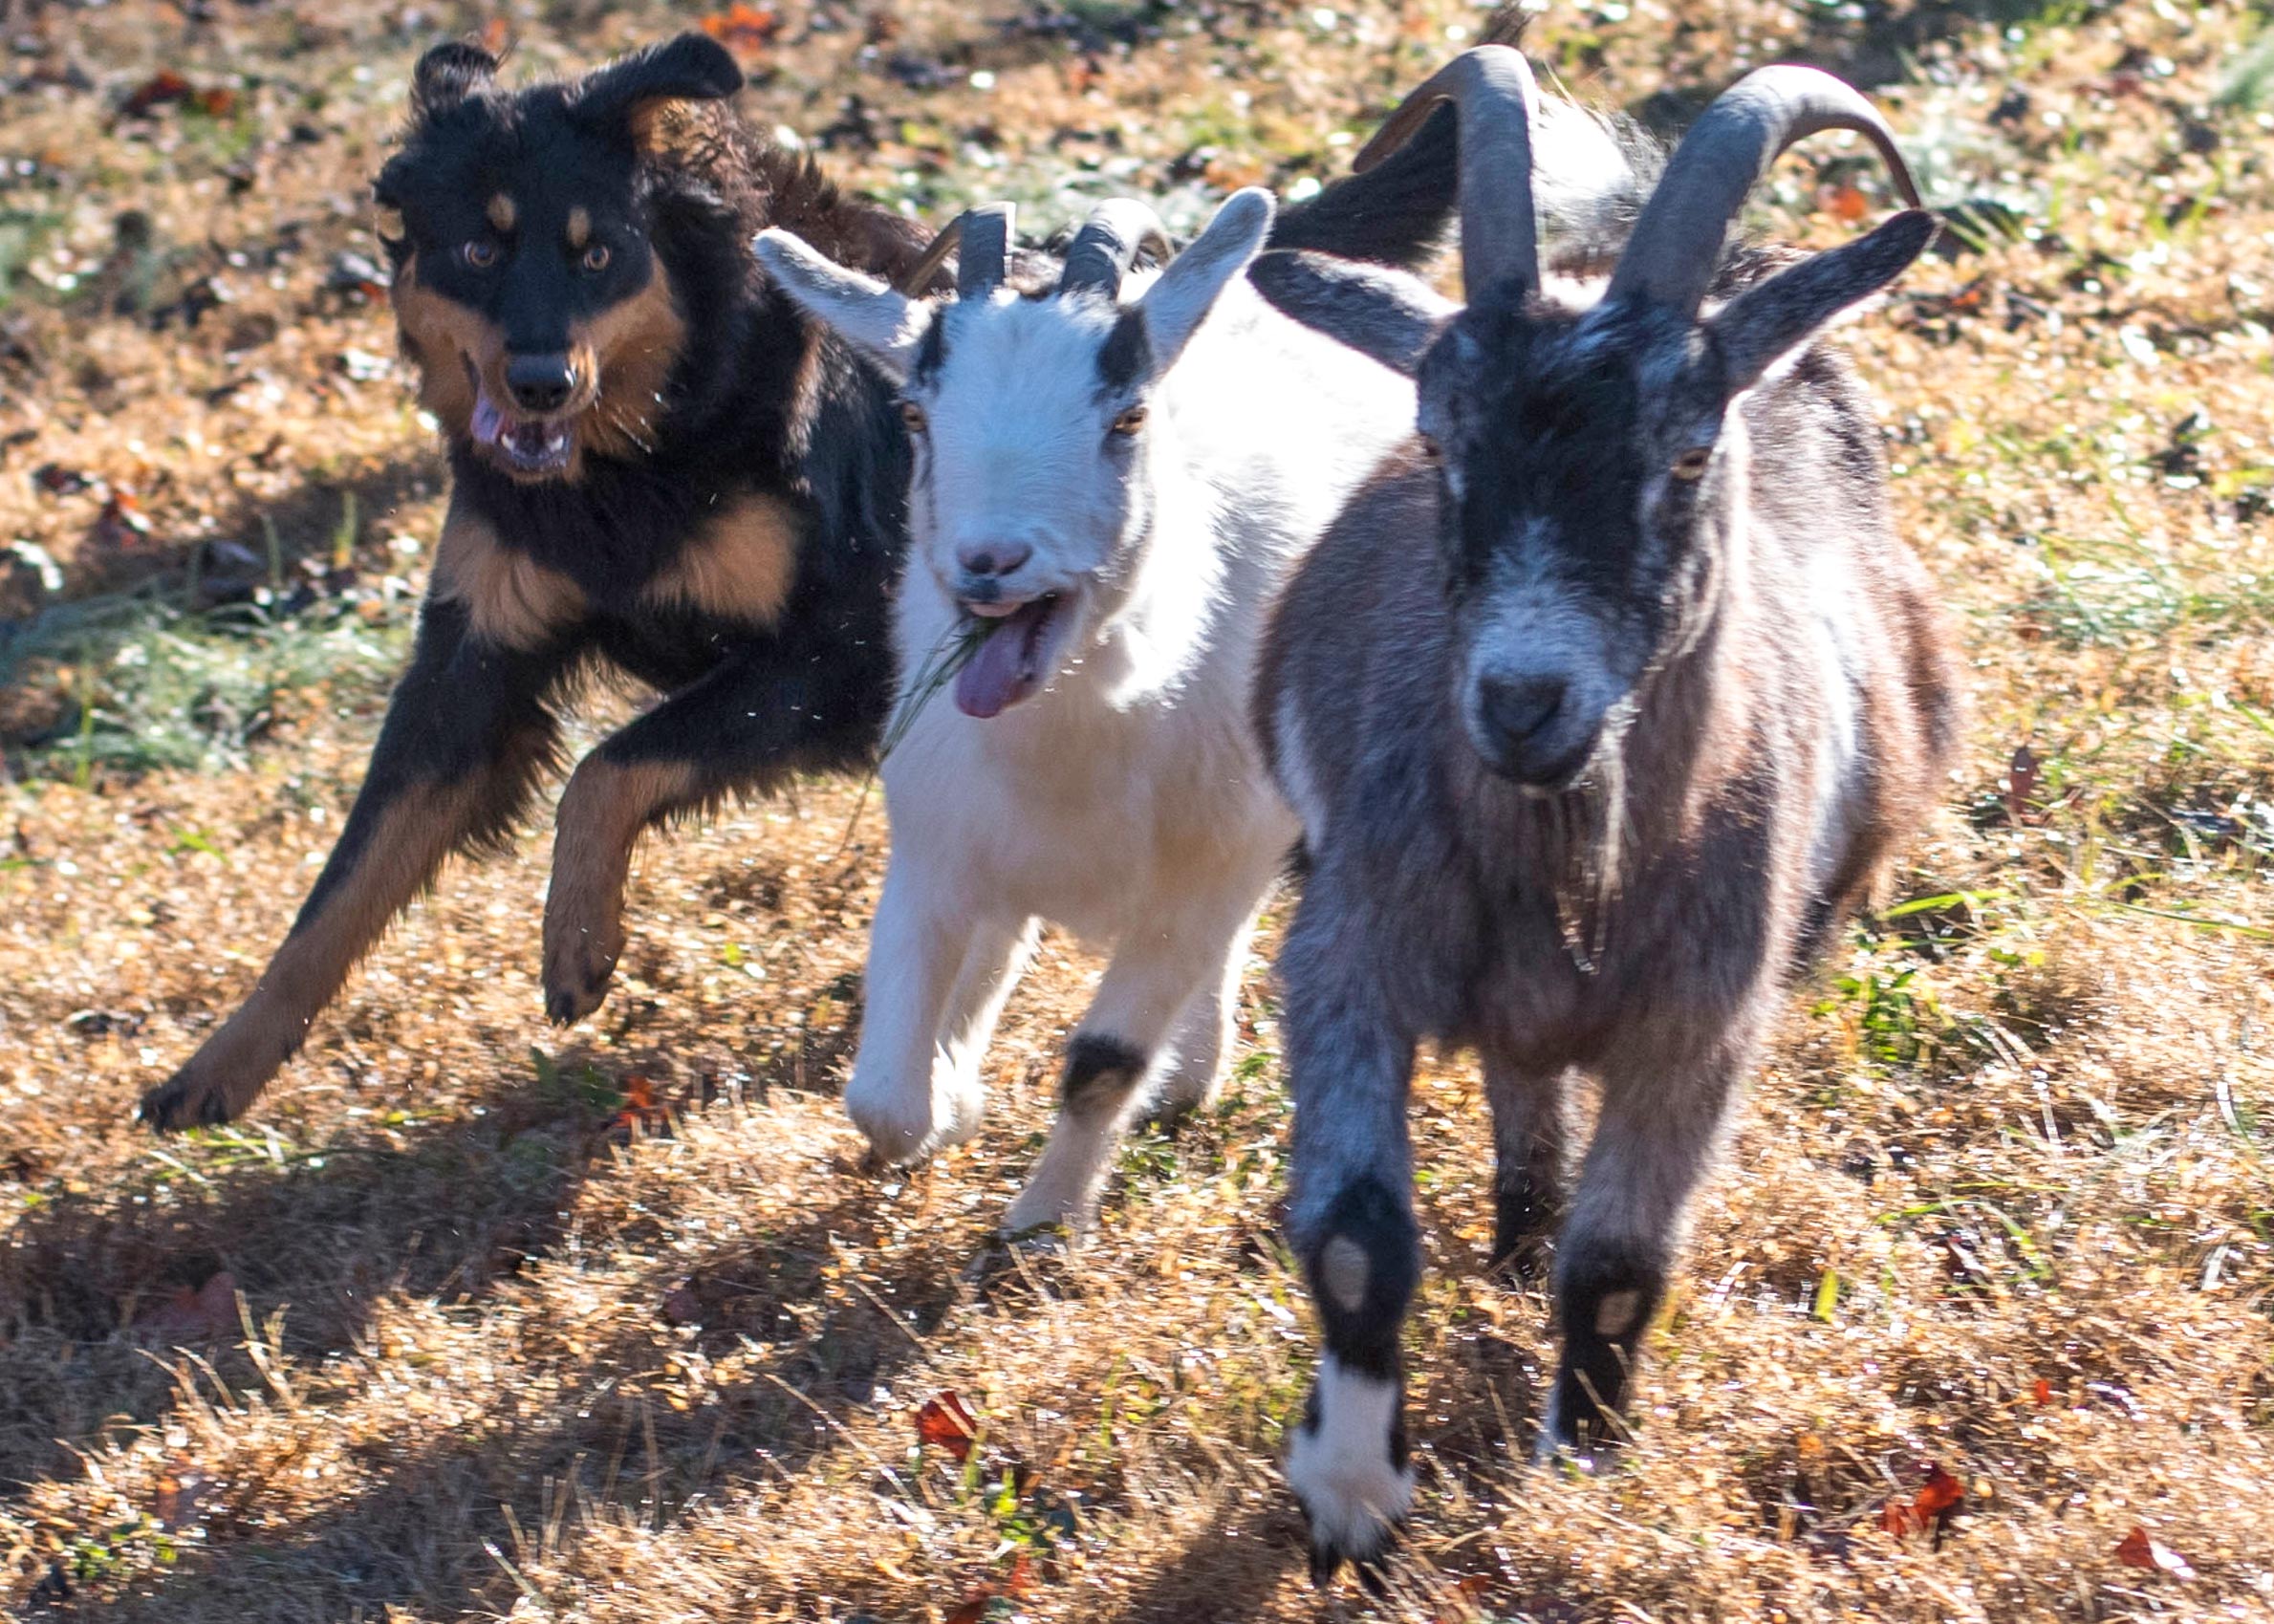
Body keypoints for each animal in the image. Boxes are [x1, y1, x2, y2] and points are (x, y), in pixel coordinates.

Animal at [1247, 48, 1963, 1576]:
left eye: (1686, 453)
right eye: (1438, 441)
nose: (1523, 699)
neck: (1568, 857)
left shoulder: (1703, 1013)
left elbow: (1623, 1266)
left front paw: (1576, 1463)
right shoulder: (1348, 951)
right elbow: (1353, 1234)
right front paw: (1350, 1488)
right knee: (1519, 1084)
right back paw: (1511, 1232)